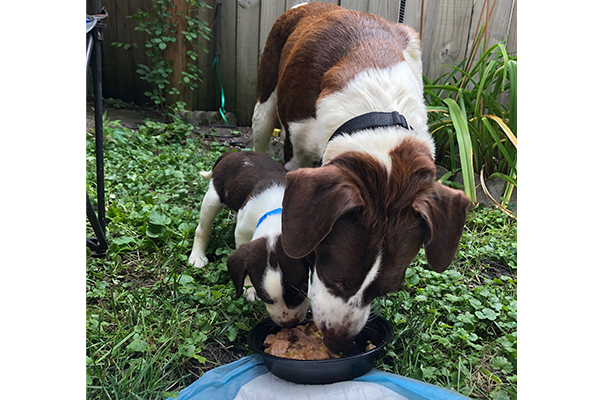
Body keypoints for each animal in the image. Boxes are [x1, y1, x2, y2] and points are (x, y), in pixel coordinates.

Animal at [188, 151, 310, 328]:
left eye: (301, 291)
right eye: (266, 299)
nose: (289, 324)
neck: (278, 214)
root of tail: (235, 153)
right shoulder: (242, 234)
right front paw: (249, 288)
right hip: (213, 197)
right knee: (203, 229)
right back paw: (197, 256)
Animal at [251, 3, 471, 352]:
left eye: (386, 289)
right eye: (334, 277)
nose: (337, 343)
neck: (376, 110)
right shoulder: (294, 156)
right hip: (267, 97)